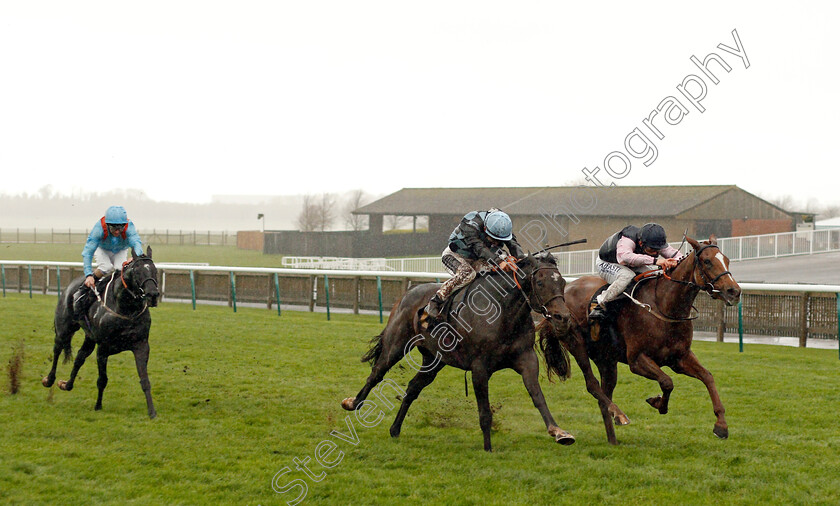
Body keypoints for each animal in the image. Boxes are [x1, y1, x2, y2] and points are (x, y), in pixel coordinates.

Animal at [42, 246, 161, 420]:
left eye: (154, 270)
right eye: (137, 271)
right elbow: (102, 379)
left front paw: (152, 412)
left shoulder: (141, 345)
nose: (153, 295)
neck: (125, 309)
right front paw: (98, 406)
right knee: (57, 349)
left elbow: (145, 380)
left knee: (79, 357)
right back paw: (49, 380)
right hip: (64, 328)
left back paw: (66, 384)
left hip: (90, 337)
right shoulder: (103, 348)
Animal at [340, 255, 576, 452]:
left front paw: (559, 432)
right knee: (377, 373)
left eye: (562, 283)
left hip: (434, 359)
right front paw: (488, 448)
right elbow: (484, 411)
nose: (563, 317)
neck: (503, 311)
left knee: (413, 388)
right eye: (540, 283)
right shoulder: (479, 367)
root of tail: (408, 293)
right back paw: (353, 403)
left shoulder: (526, 358)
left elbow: (537, 395)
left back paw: (395, 429)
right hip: (396, 344)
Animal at [540, 236, 740, 442]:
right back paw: (619, 417)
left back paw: (613, 437)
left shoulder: (679, 358)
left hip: (606, 359)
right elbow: (667, 381)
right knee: (592, 385)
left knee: (605, 396)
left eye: (726, 260)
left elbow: (707, 377)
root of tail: (560, 295)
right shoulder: (637, 360)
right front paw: (658, 403)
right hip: (576, 344)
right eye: (707, 261)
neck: (664, 306)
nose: (734, 291)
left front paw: (721, 425)